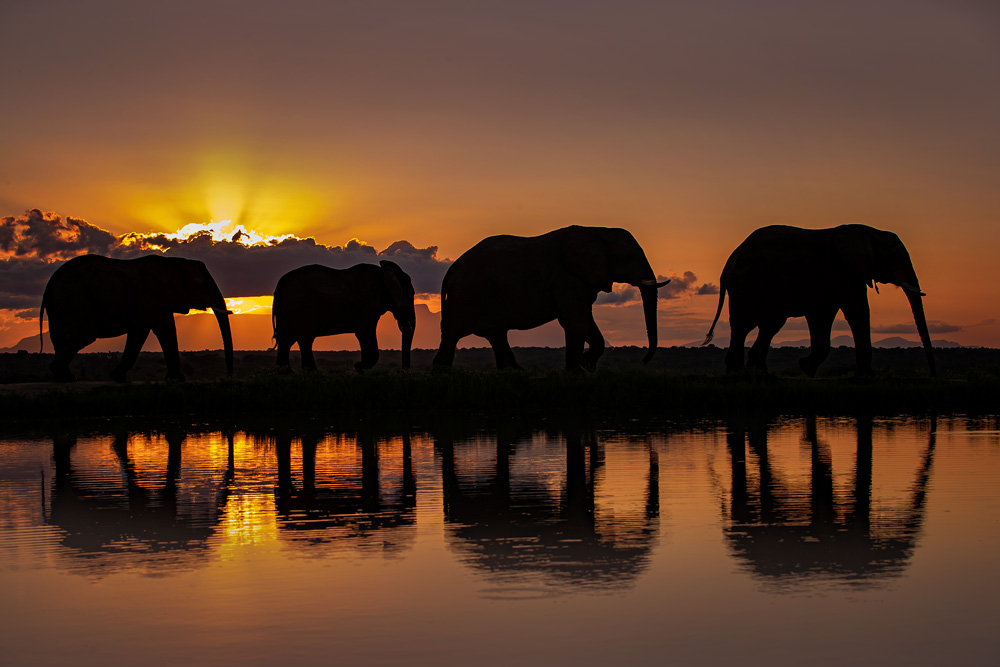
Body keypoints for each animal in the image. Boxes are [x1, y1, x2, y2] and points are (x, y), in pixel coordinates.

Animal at [41, 254, 234, 380]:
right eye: (203, 285)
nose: (228, 378)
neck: (173, 262)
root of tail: (51, 282)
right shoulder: (147, 298)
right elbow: (140, 331)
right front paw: (116, 377)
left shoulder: (159, 300)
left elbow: (166, 331)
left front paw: (176, 379)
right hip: (76, 300)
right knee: (83, 337)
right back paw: (65, 376)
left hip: (60, 305)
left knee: (59, 339)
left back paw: (63, 377)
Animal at [272, 260, 416, 374]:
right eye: (410, 294)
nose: (401, 371)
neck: (385, 271)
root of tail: (280, 284)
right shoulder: (369, 303)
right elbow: (364, 332)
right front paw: (358, 367)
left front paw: (359, 368)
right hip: (301, 306)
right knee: (304, 338)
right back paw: (311, 372)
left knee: (287, 339)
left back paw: (287, 372)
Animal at [434, 223, 668, 370]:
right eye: (628, 257)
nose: (643, 361)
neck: (597, 230)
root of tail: (453, 267)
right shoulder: (566, 278)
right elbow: (574, 320)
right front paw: (577, 371)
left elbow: (586, 319)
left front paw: (587, 366)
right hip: (465, 296)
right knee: (453, 333)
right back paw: (442, 372)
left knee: (496, 334)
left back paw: (516, 372)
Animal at [708, 224, 932, 378]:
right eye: (895, 258)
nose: (933, 375)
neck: (868, 231)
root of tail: (730, 260)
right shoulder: (843, 272)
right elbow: (857, 312)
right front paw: (867, 376)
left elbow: (822, 317)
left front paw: (805, 368)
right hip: (746, 286)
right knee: (743, 325)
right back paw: (737, 373)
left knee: (770, 325)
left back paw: (761, 374)